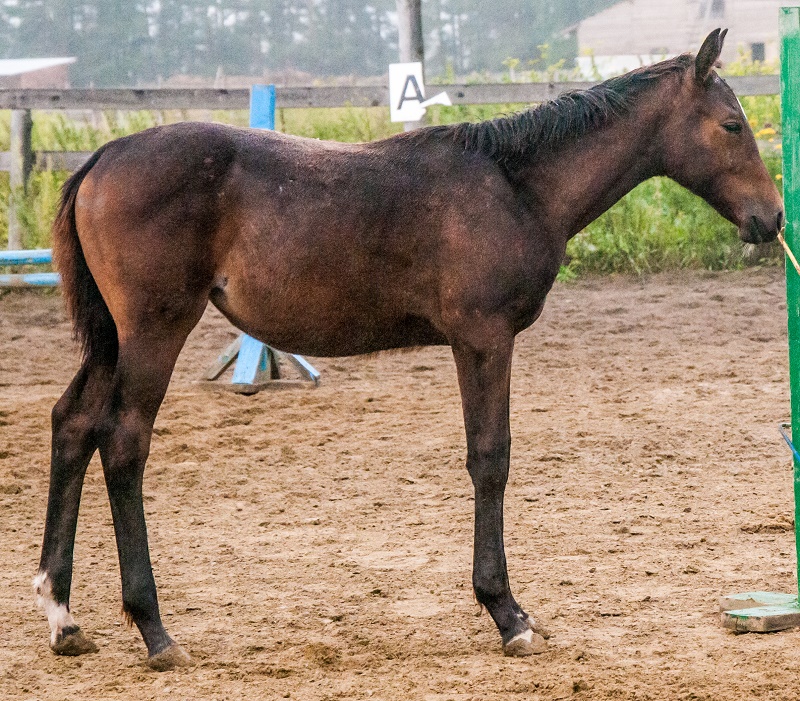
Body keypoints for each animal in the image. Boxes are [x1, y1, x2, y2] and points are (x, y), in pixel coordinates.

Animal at [34, 29, 783, 669]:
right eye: (731, 125)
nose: (770, 219)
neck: (516, 184)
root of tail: (102, 158)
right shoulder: (483, 337)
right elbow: (490, 459)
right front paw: (508, 614)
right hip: (155, 330)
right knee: (123, 441)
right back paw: (154, 628)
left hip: (112, 339)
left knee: (72, 424)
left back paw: (62, 614)